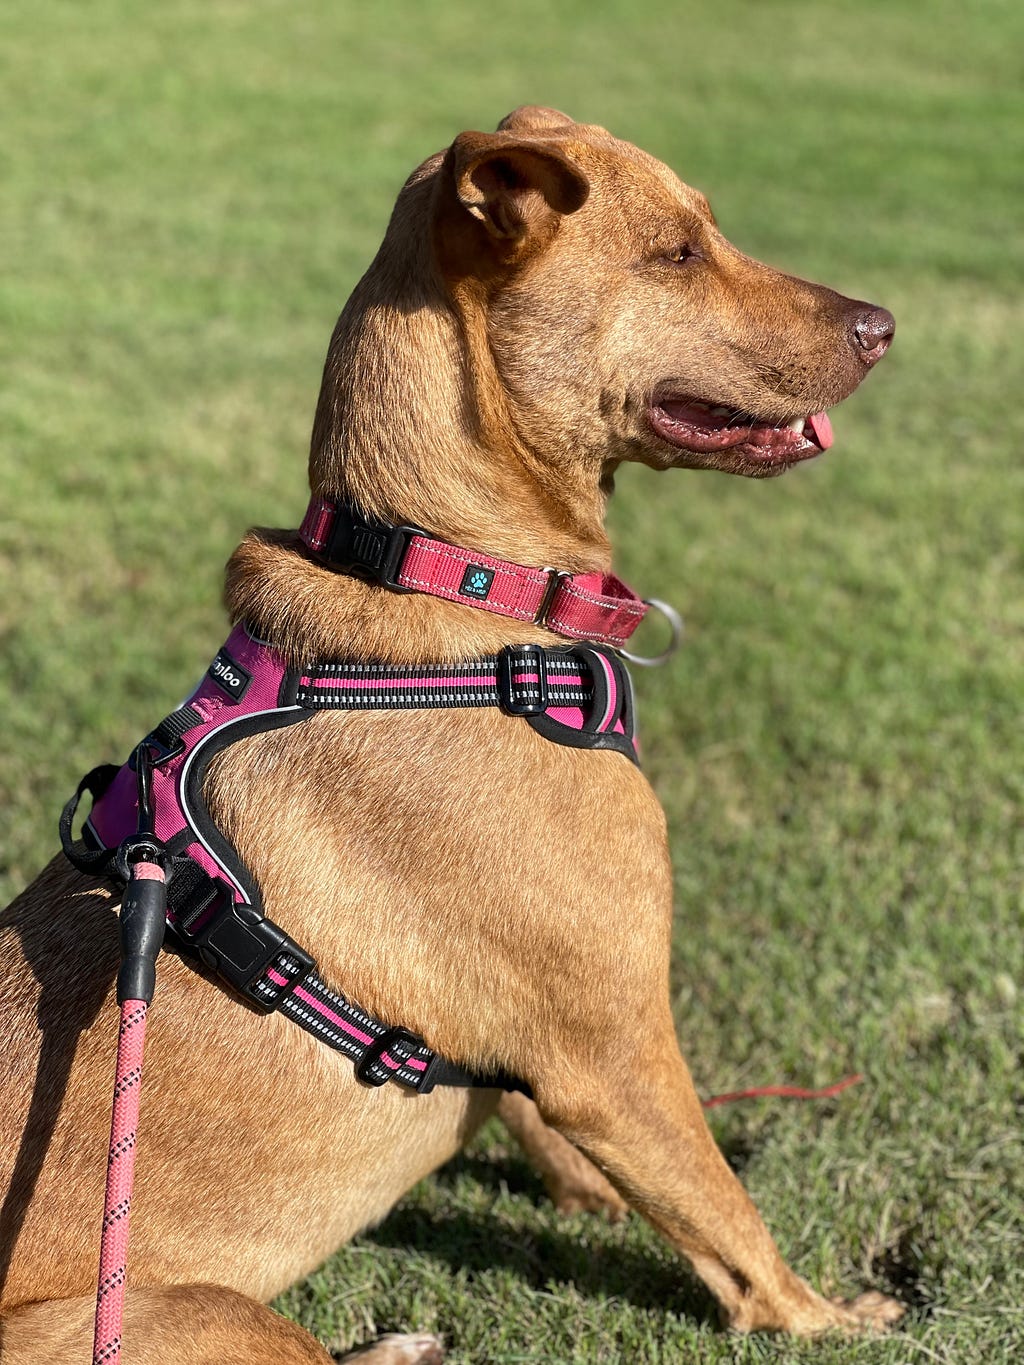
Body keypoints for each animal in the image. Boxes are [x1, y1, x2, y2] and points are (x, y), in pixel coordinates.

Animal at [0, 109, 895, 1365]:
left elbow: (581, 1146)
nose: (884, 328)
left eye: (708, 229)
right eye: (673, 254)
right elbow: (728, 1218)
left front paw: (593, 1198)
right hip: (200, 1315)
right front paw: (830, 1320)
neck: (446, 573)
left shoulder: (562, 1060)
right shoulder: (618, 1049)